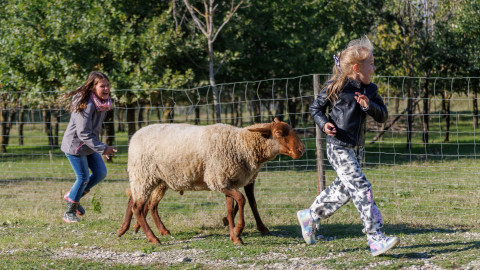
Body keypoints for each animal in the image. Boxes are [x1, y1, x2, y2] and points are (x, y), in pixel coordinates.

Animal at [120, 118, 306, 245]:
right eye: (279, 134)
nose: (301, 150)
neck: (240, 144)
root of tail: (136, 134)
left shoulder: (229, 180)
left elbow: (235, 207)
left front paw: (234, 235)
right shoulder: (217, 179)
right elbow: (242, 200)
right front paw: (238, 230)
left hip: (157, 179)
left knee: (147, 204)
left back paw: (142, 230)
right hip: (143, 175)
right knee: (138, 207)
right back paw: (152, 238)